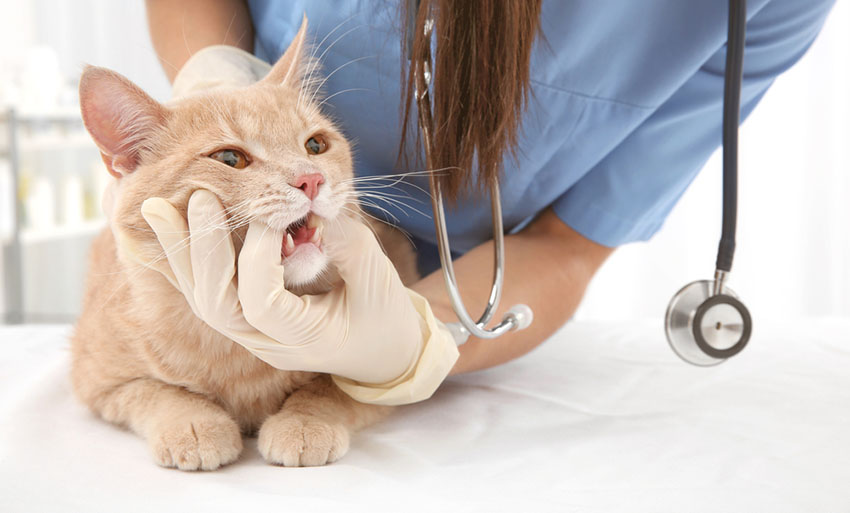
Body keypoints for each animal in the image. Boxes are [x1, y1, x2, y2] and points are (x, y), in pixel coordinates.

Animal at [69, 19, 418, 468]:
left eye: (316, 145)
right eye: (230, 159)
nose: (311, 180)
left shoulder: (386, 373)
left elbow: (330, 389)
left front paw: (303, 421)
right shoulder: (98, 381)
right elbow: (156, 392)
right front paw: (194, 423)